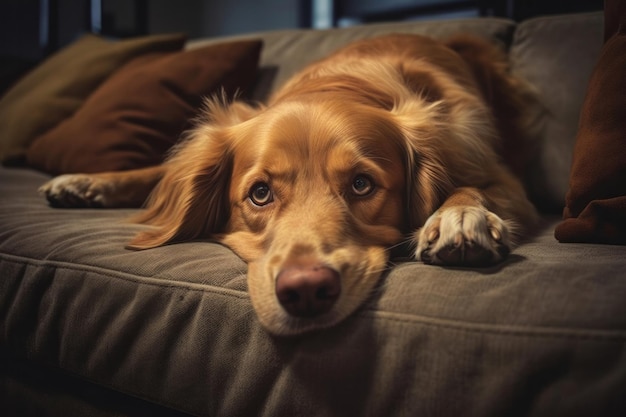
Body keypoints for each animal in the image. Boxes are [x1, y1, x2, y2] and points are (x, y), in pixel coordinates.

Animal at [40, 33, 536, 334]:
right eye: (260, 193)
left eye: (361, 185)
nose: (306, 291)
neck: (341, 83)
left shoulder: (497, 172)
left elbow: (473, 186)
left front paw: (459, 217)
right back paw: (83, 183)